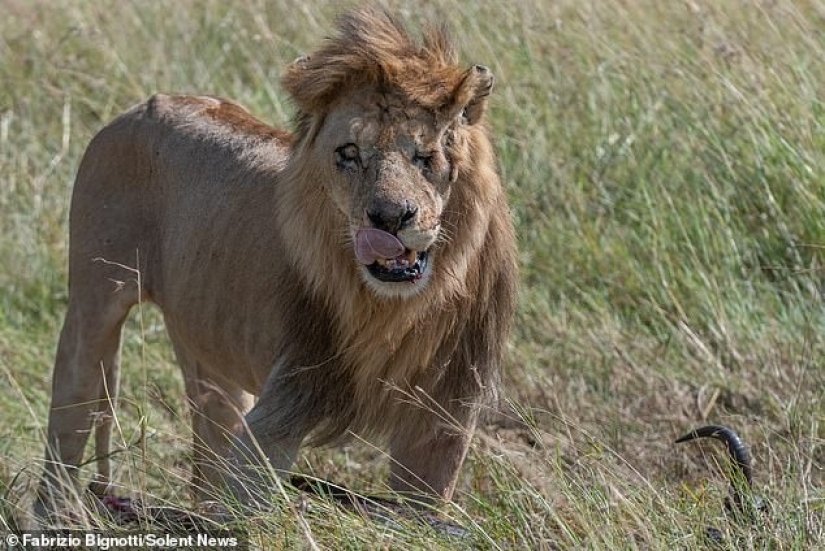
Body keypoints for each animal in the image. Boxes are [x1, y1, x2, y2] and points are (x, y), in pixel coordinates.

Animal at [38, 6, 520, 520]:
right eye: (349, 154)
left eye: (425, 155)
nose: (390, 219)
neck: (393, 310)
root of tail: (142, 106)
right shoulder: (282, 408)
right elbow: (251, 510)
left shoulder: (441, 421)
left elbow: (423, 511)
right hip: (93, 307)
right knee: (68, 424)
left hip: (208, 342)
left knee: (209, 440)